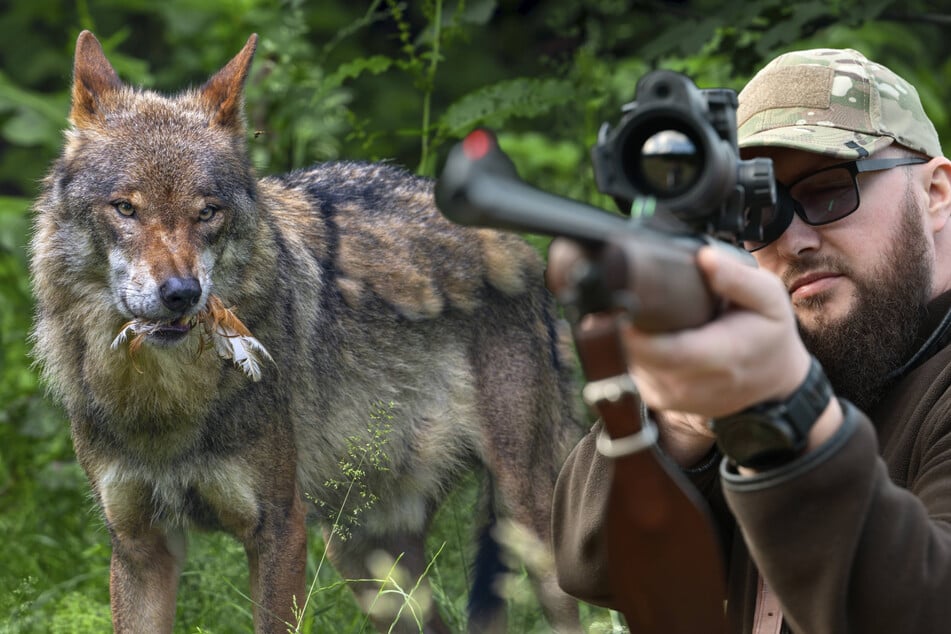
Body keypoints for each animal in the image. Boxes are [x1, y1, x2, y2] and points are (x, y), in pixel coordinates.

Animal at [29, 31, 585, 634]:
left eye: (208, 212)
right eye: (125, 208)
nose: (182, 293)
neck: (166, 404)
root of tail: (522, 247)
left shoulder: (278, 528)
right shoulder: (138, 545)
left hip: (524, 524)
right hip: (368, 562)